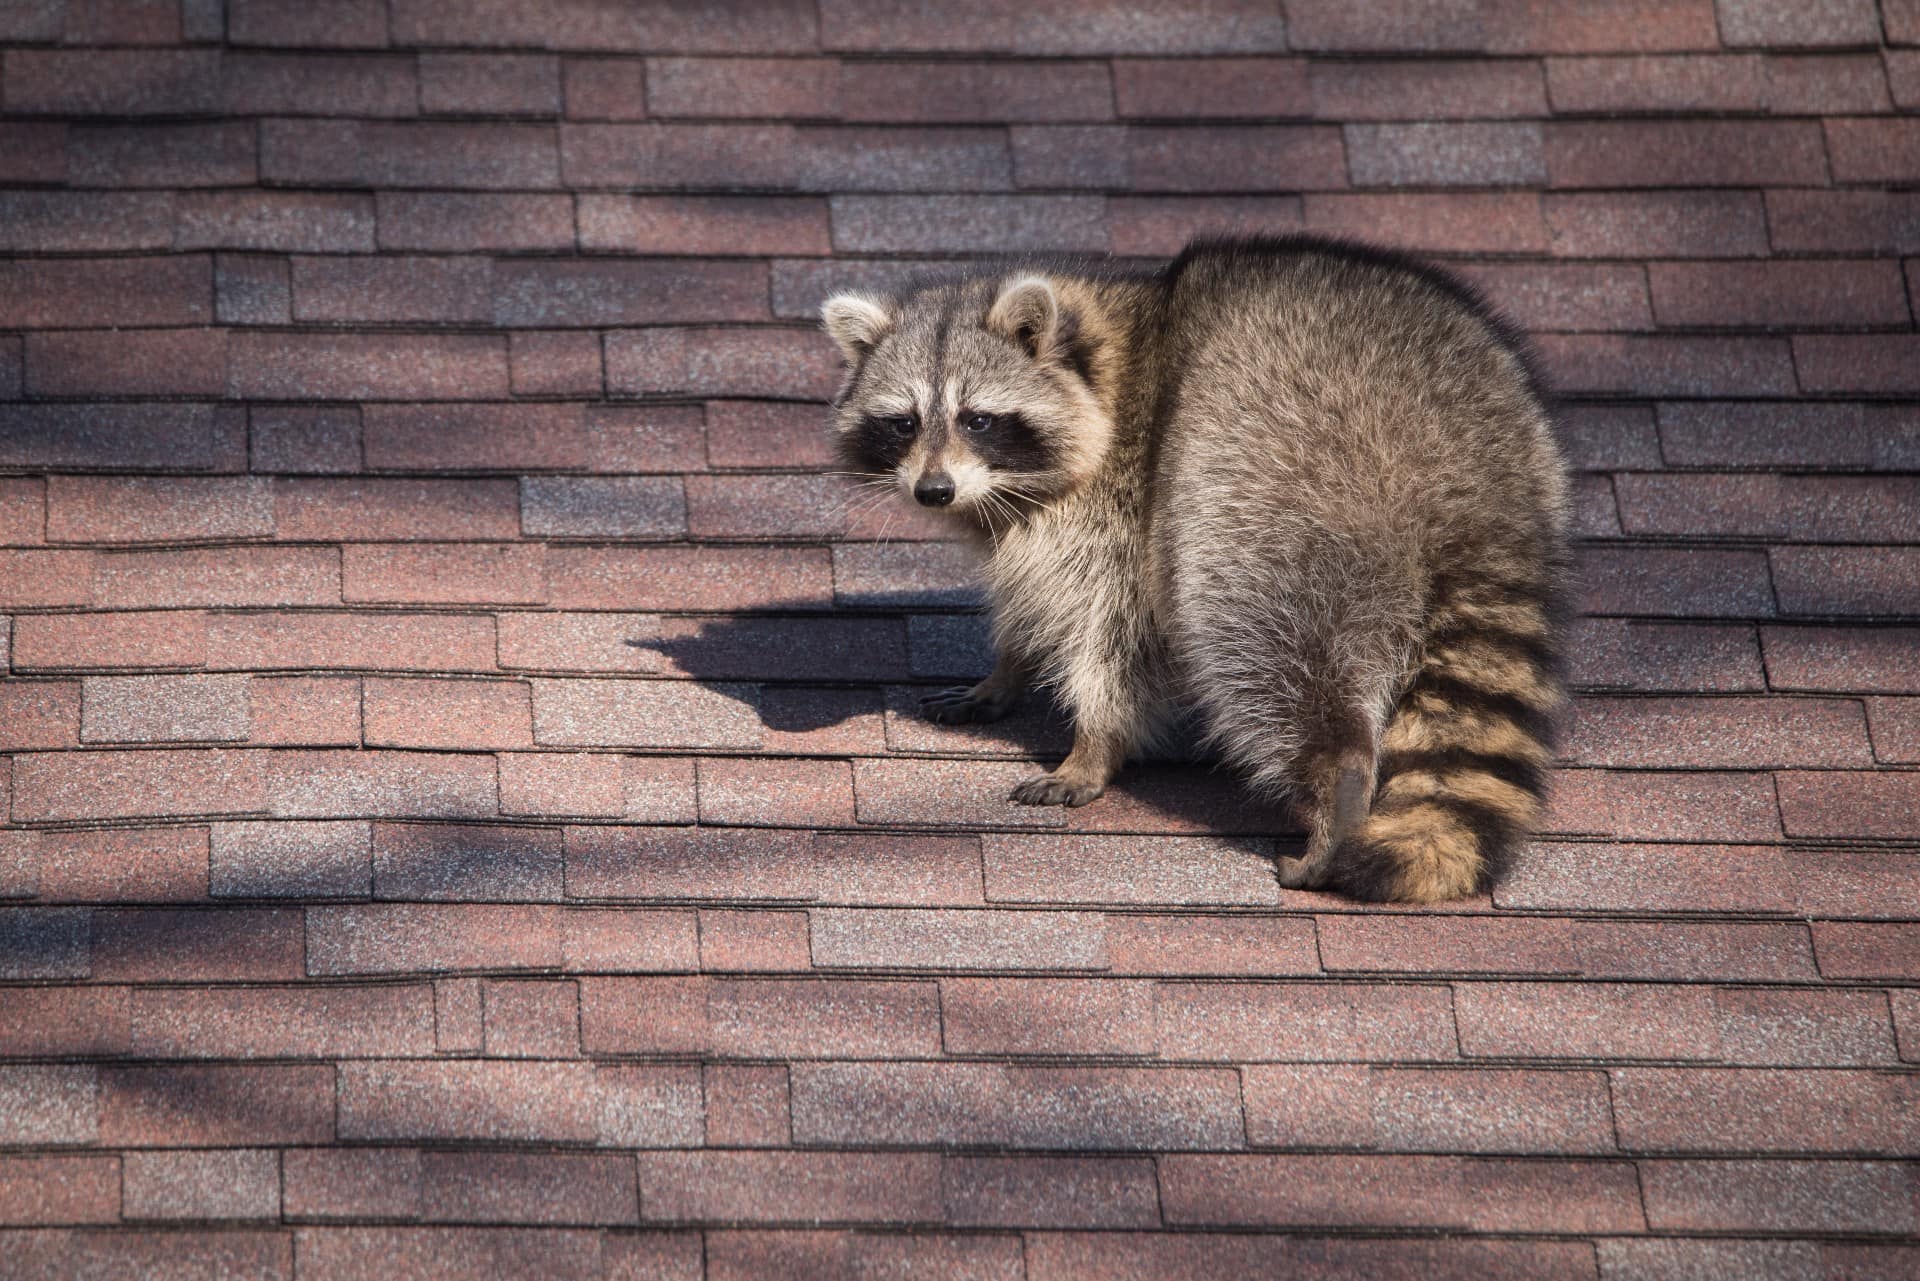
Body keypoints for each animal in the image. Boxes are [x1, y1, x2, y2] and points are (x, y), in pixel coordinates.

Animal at [817, 238, 1566, 902]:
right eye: (905, 422)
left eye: (977, 419)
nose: (933, 491)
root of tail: (1465, 466)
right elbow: (1029, 596)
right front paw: (1007, 669)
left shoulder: (1123, 506)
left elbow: (1116, 632)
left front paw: (1095, 743)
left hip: (1275, 475)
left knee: (1257, 630)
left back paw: (1340, 776)